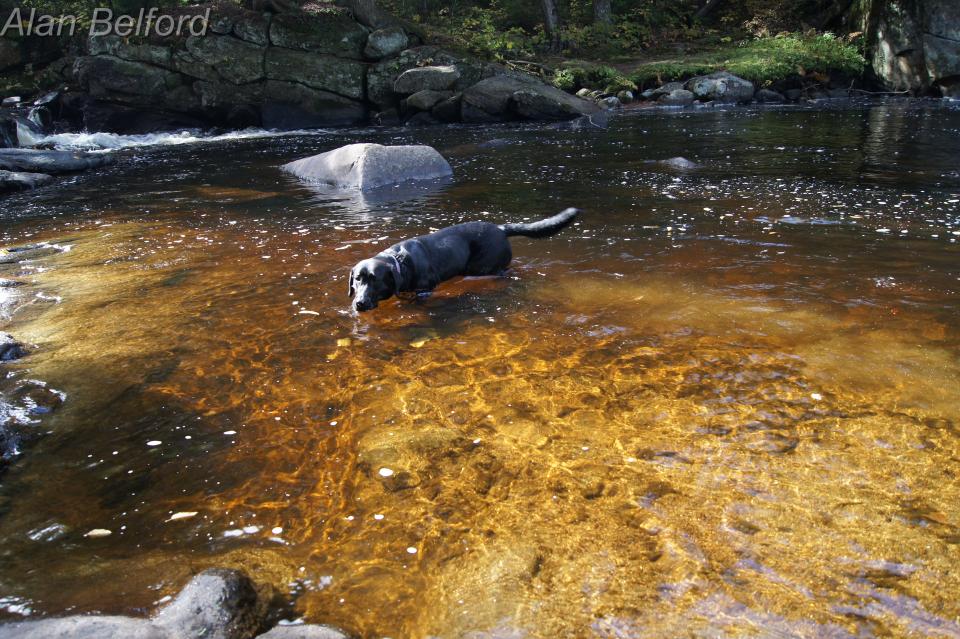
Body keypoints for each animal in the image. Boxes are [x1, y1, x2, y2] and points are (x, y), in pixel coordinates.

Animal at [350, 209, 580, 312]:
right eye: (357, 280)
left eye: (376, 280)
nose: (359, 303)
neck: (400, 262)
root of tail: (501, 229)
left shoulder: (425, 290)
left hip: (484, 267)